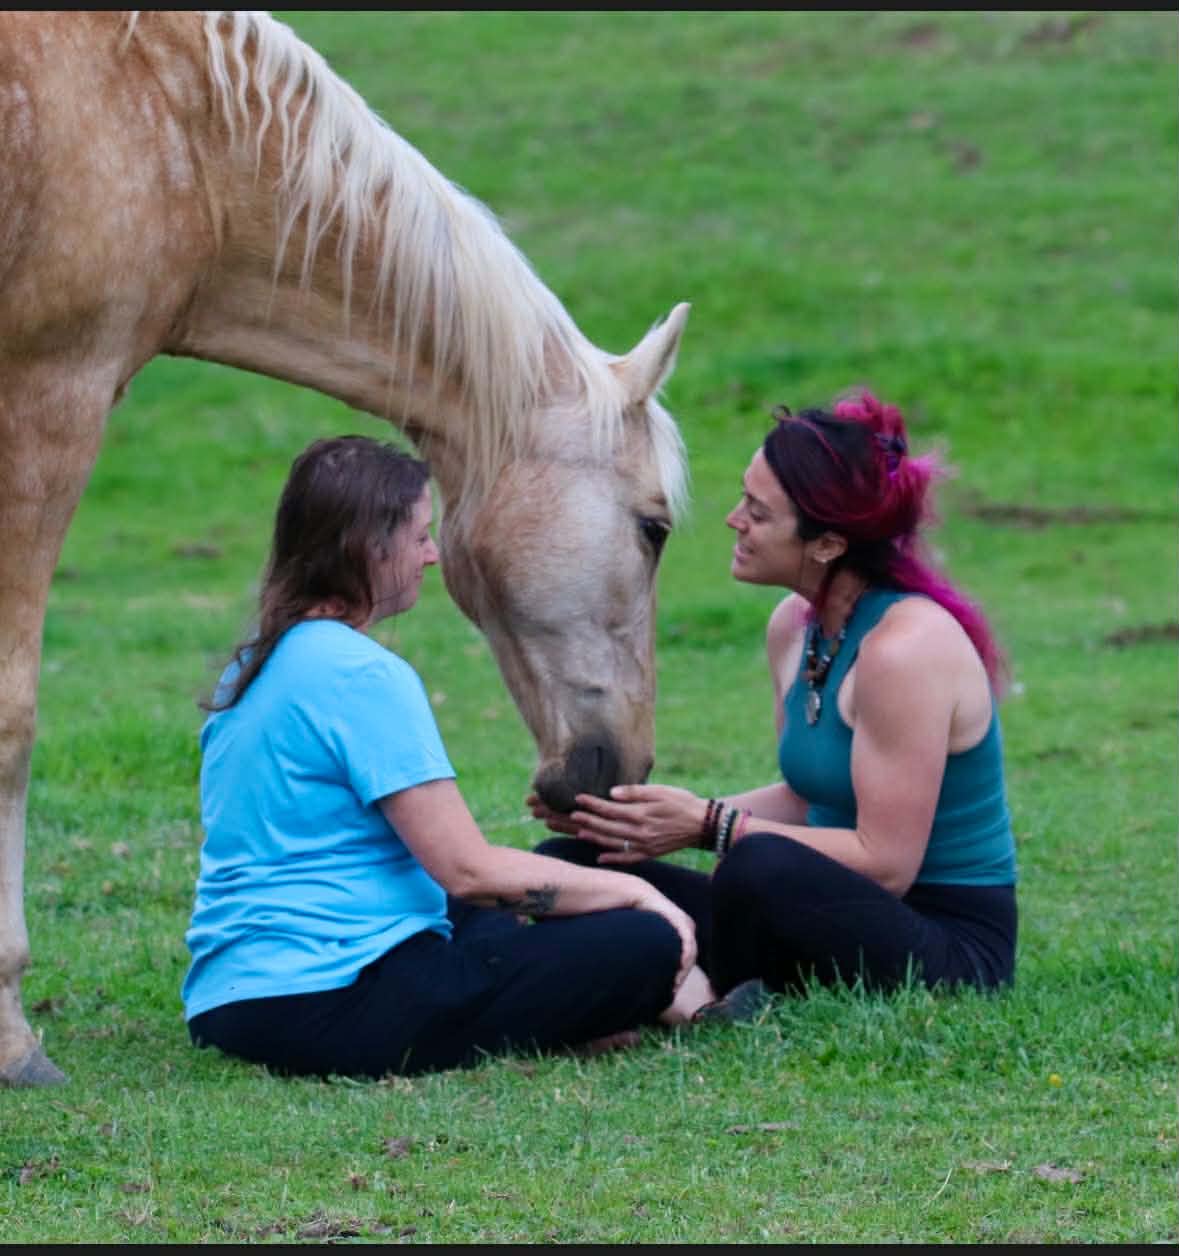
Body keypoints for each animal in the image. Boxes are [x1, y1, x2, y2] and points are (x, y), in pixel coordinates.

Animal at [0, 10, 690, 1086]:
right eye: (653, 526)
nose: (615, 768)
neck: (168, 115)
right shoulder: (48, 396)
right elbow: (13, 714)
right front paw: (12, 1031)